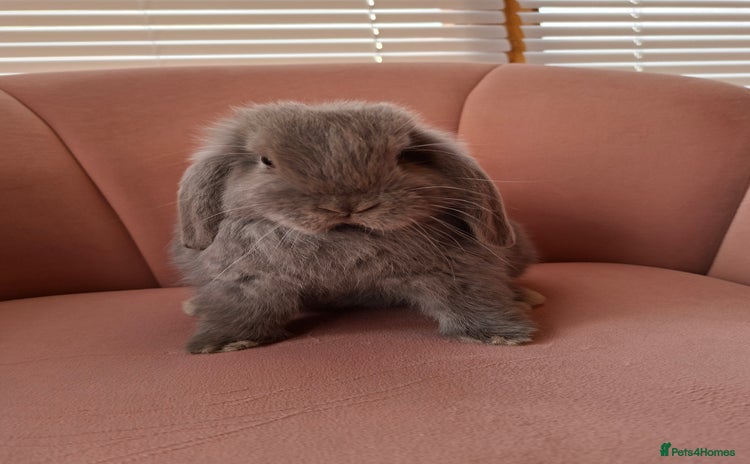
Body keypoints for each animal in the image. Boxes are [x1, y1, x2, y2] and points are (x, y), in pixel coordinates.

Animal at [172, 101, 543, 354]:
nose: (348, 204)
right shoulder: (248, 281)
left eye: (403, 156)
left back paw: (524, 296)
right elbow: (242, 311)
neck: (342, 241)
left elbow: (471, 300)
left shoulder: (457, 271)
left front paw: (500, 335)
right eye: (266, 161)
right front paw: (224, 343)